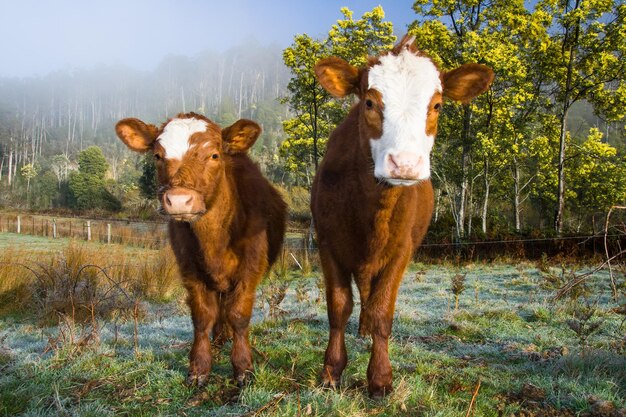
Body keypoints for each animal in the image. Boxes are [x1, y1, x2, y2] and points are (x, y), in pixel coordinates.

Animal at [114, 112, 286, 386]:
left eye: (214, 155)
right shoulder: (190, 269)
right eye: (157, 155)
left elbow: (239, 315)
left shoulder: (250, 269)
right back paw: (219, 339)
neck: (215, 239)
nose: (179, 200)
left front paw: (243, 368)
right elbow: (202, 316)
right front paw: (199, 368)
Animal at [310, 36, 492, 396]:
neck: (371, 210)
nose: (404, 164)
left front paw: (380, 378)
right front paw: (332, 370)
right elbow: (338, 307)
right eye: (369, 102)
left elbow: (383, 310)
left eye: (437, 105)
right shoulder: (327, 244)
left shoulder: (402, 249)